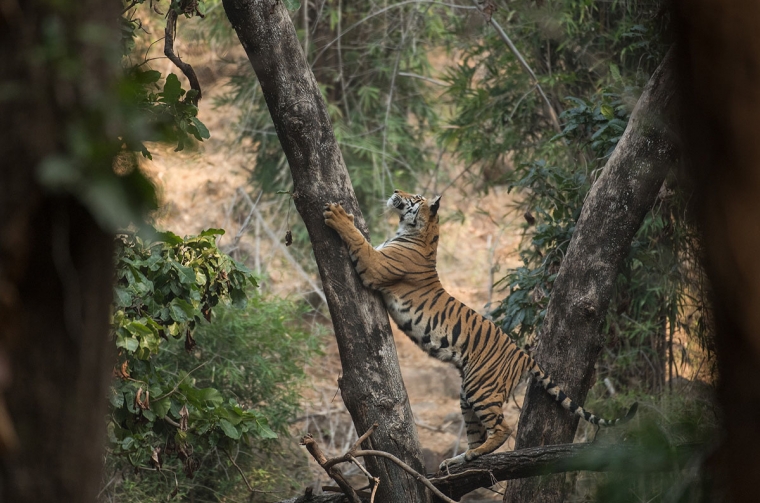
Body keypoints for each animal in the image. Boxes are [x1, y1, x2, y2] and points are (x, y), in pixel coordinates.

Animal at [320, 191, 636, 470]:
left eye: (416, 197)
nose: (397, 190)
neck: (417, 232)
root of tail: (524, 355)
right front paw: (346, 214)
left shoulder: (375, 266)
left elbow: (358, 240)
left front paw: (337, 216)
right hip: (466, 397)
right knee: (478, 433)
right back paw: (459, 460)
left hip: (480, 387)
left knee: (502, 428)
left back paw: (471, 456)